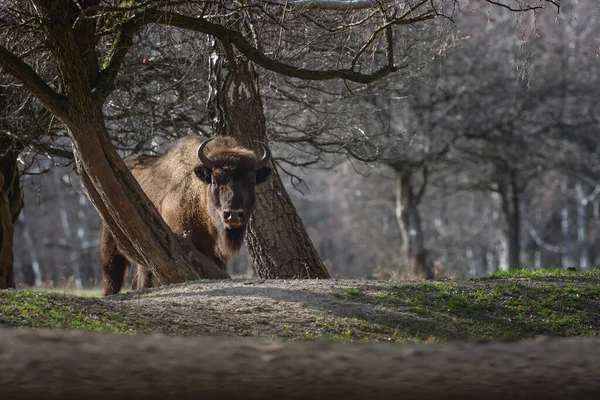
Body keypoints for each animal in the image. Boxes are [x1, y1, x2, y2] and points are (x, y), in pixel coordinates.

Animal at [101, 136, 272, 296]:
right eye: (215, 181)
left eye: (251, 182)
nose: (233, 215)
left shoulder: (216, 256)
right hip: (111, 242)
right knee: (113, 274)